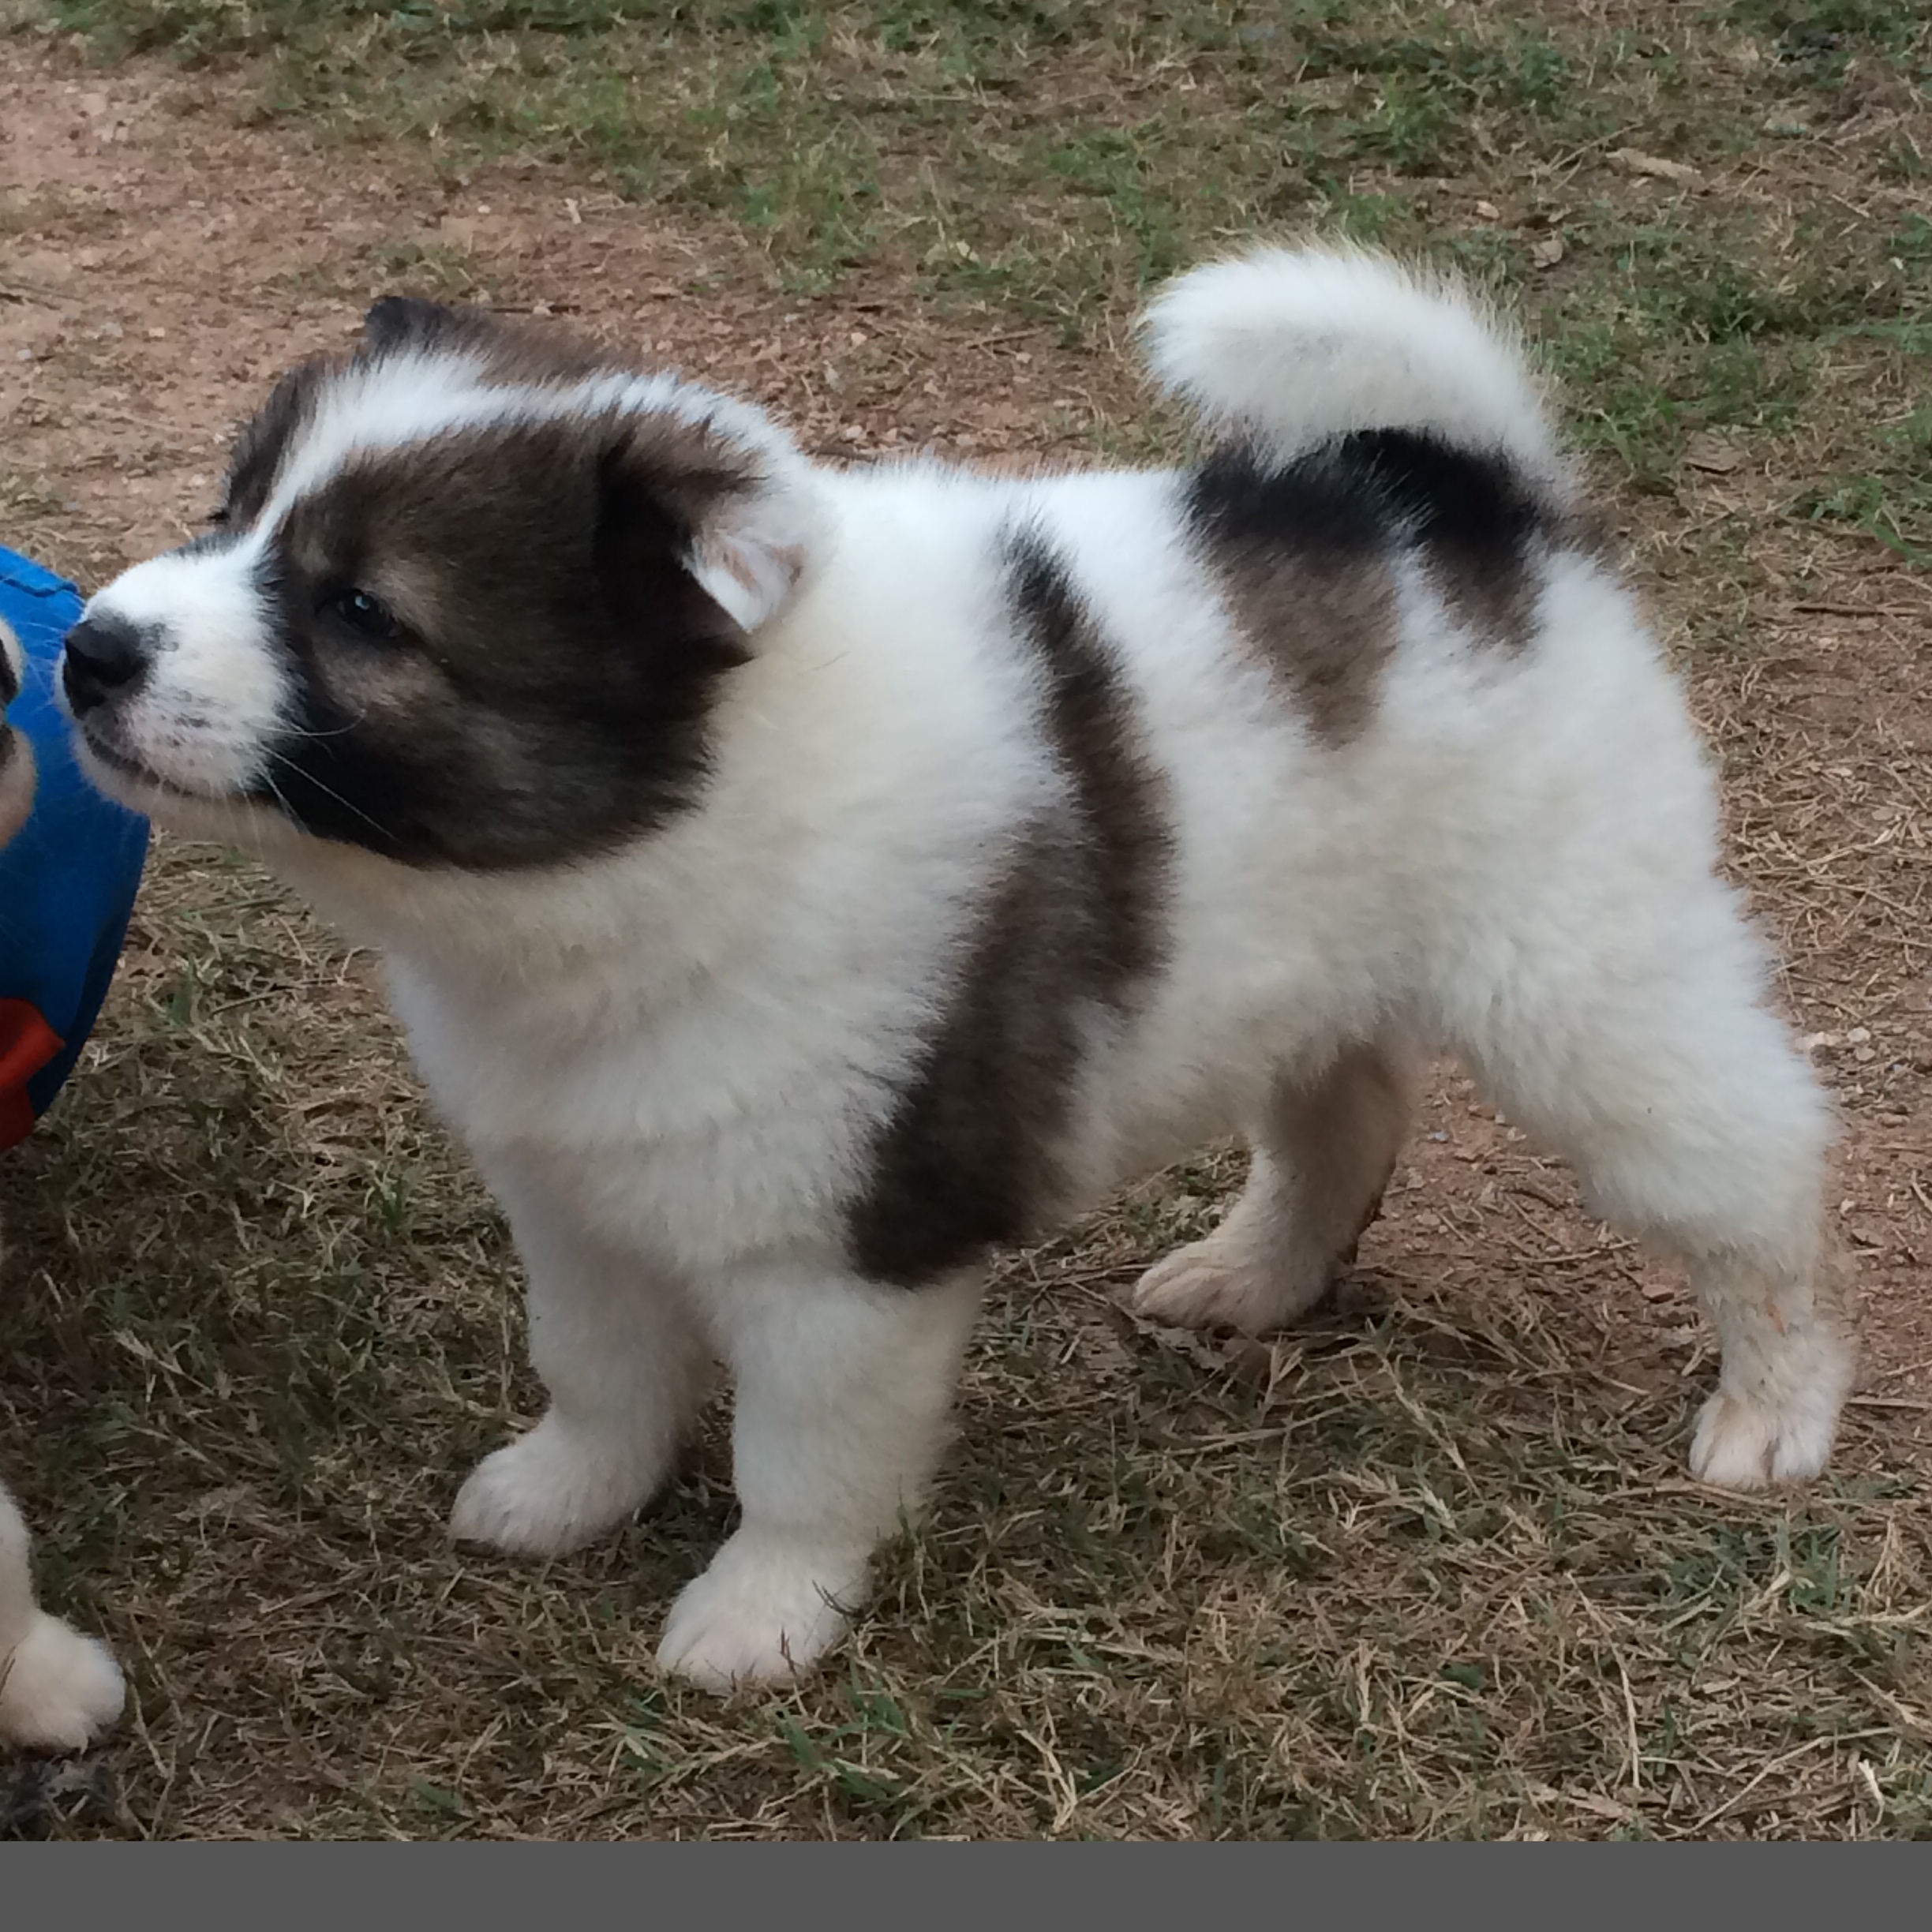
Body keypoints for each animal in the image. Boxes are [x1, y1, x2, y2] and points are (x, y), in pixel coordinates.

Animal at [58, 248, 1852, 1691]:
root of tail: (1449, 498)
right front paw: (564, 1496)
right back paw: (1251, 1276)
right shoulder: (577, 1195)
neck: (666, 828)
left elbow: (798, 1459)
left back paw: (1776, 1403)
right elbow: (599, 1372)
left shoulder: (845, 1256)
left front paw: (757, 1617)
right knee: (1344, 1117)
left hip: (1579, 980)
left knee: (1751, 1170)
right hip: (1300, 957)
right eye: (228, 515)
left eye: (362, 610)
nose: (88, 649)